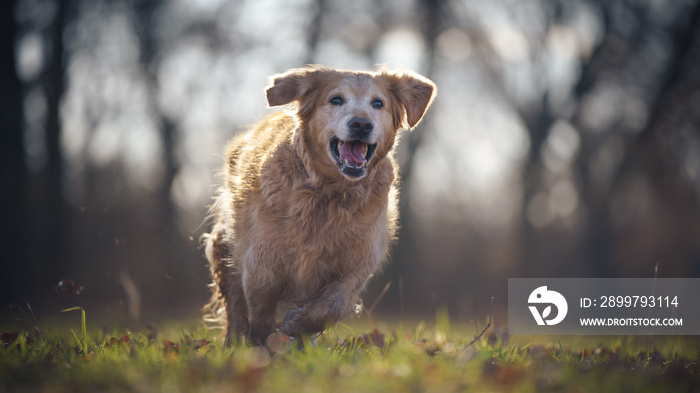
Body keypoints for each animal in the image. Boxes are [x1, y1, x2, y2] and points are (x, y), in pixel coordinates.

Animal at [200, 64, 434, 344]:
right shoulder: (261, 262)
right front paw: (262, 345)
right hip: (224, 243)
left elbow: (332, 306)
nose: (361, 124)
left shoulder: (357, 262)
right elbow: (259, 310)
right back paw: (234, 342)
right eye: (336, 99)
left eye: (378, 103)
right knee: (235, 304)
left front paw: (297, 325)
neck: (330, 193)